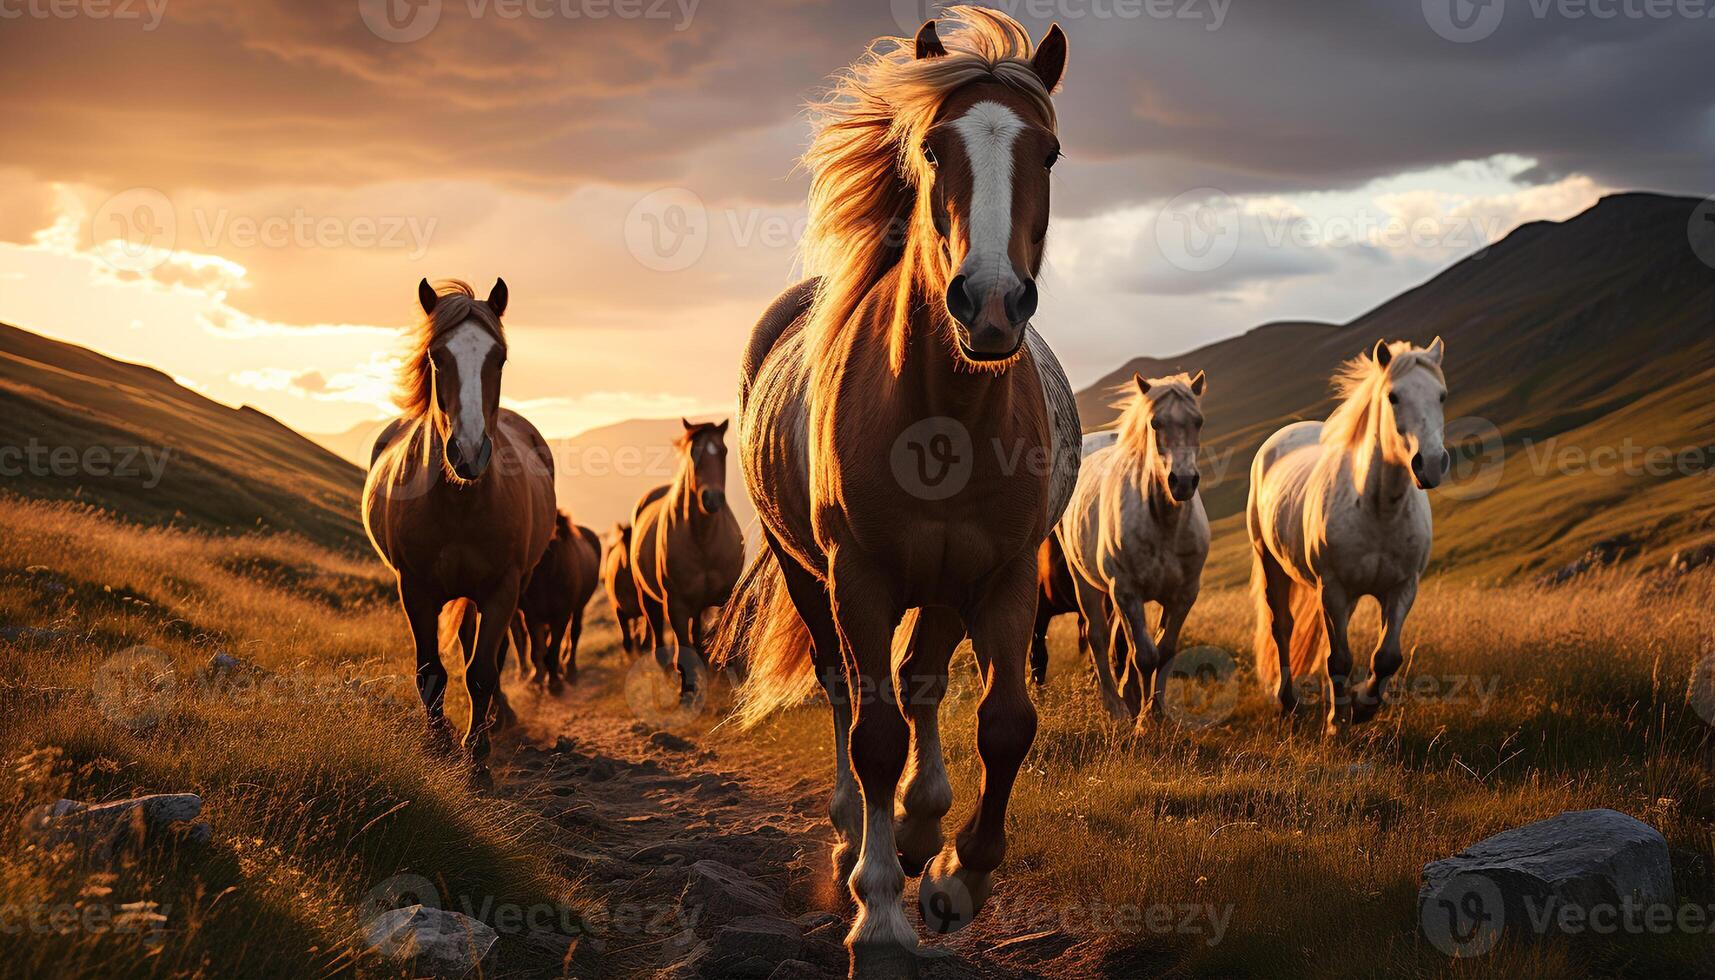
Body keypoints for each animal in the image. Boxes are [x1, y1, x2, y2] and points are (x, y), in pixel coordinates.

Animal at [365, 276, 559, 782]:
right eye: (437, 356)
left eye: (500, 357)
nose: (469, 452)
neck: (459, 503)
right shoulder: (414, 589)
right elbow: (430, 669)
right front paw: (439, 744)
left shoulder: (502, 589)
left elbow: (482, 670)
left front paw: (477, 755)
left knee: (493, 653)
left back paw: (496, 718)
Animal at [627, 418, 740, 700]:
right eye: (693, 453)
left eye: (723, 451)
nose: (712, 499)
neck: (702, 539)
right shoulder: (675, 605)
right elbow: (682, 645)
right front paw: (687, 688)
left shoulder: (725, 597)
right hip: (649, 599)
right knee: (658, 632)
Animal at [710, 7, 1070, 974]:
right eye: (935, 148)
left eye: (1049, 151)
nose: (991, 305)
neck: (941, 415)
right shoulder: (859, 578)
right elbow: (870, 735)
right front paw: (877, 917)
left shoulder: (1003, 576)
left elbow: (1005, 723)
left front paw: (955, 880)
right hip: (811, 574)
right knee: (847, 695)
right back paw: (855, 840)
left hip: (944, 585)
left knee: (920, 687)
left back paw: (918, 828)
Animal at [1049, 372, 1214, 724]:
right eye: (1155, 423)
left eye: (1198, 421)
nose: (1182, 482)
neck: (1163, 523)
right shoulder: (1126, 591)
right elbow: (1144, 655)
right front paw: (1142, 721)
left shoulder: (1183, 596)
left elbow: (1164, 652)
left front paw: (1156, 710)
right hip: (1086, 582)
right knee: (1098, 636)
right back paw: (1114, 704)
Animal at [1248, 341, 1447, 731]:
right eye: (1393, 396)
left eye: (1441, 396)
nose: (1430, 464)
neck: (1379, 510)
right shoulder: (1334, 588)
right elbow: (1338, 659)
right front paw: (1336, 725)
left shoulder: (1402, 587)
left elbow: (1386, 657)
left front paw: (1360, 707)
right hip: (1271, 564)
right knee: (1283, 627)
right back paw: (1288, 701)